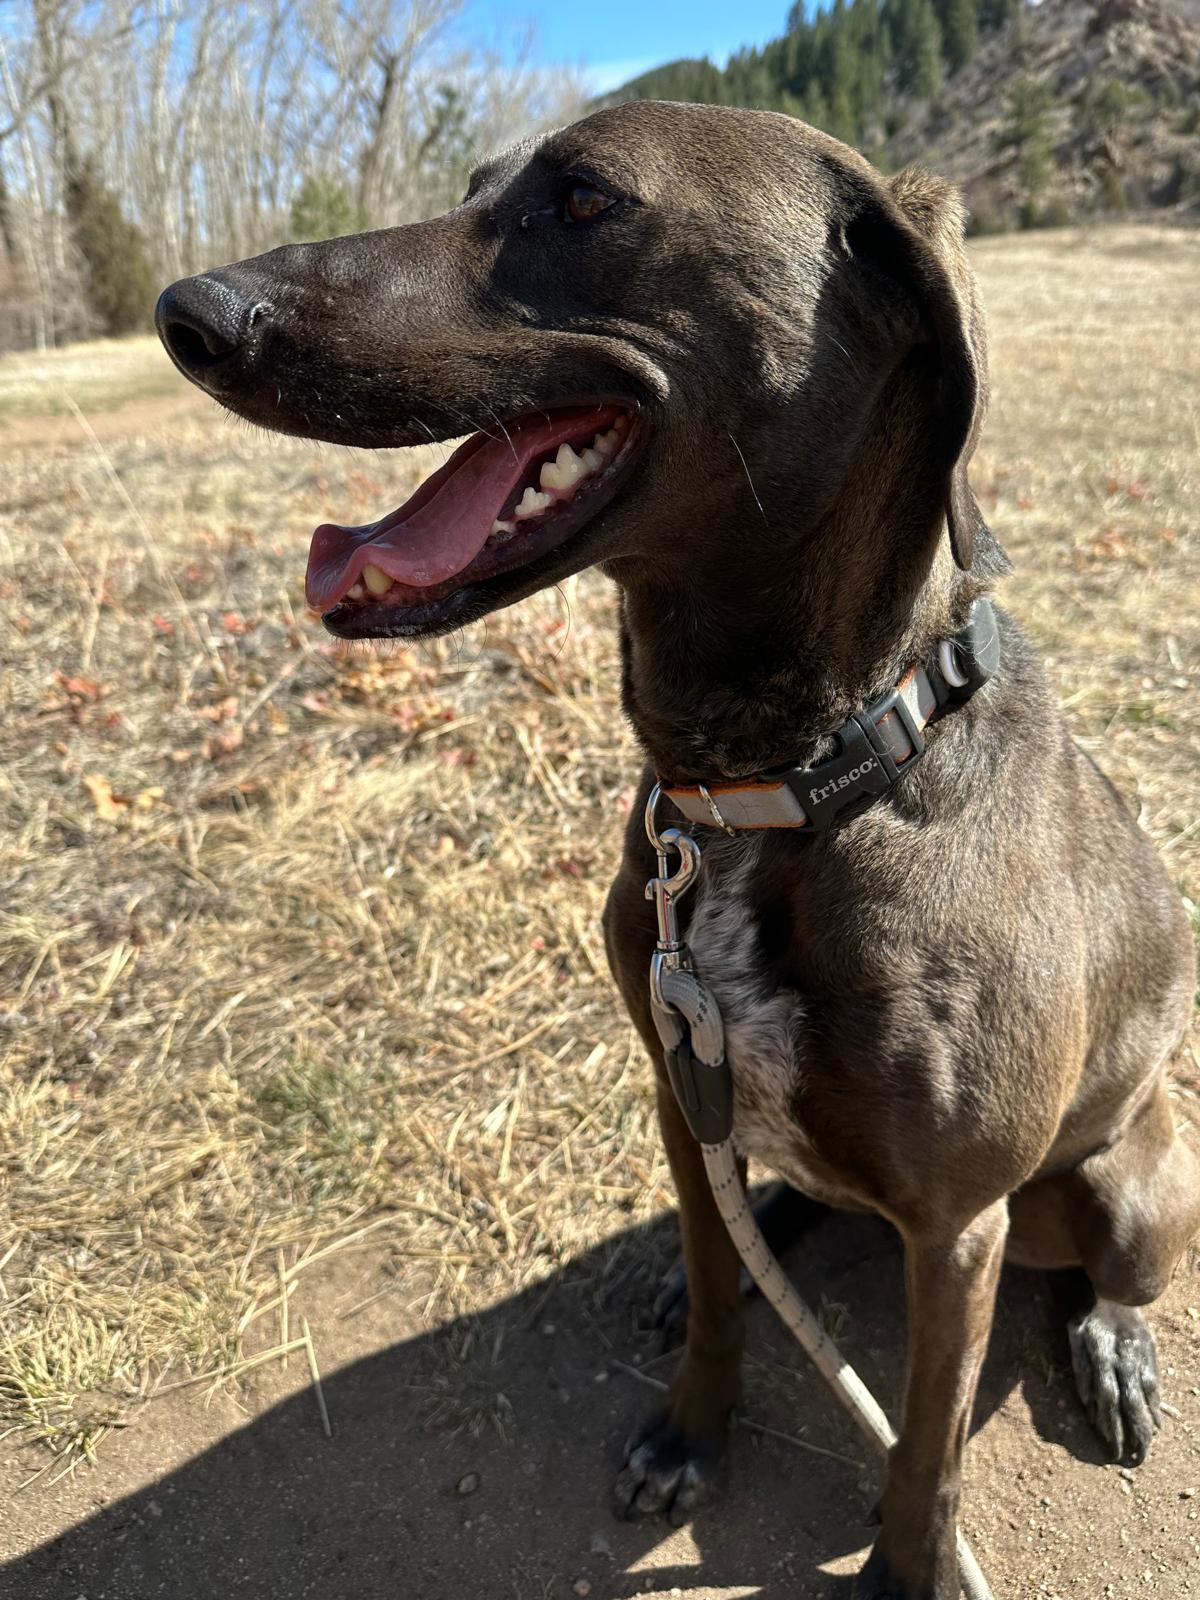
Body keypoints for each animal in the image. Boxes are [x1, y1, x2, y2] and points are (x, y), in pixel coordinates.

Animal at [156, 100, 1199, 1600]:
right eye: (475, 185)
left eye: (588, 200)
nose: (190, 310)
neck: (778, 790)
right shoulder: (674, 1088)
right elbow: (720, 1300)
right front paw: (691, 1427)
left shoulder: (959, 1233)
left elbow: (925, 1452)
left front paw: (906, 1567)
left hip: (1128, 1180)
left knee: (1105, 1271)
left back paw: (1114, 1346)